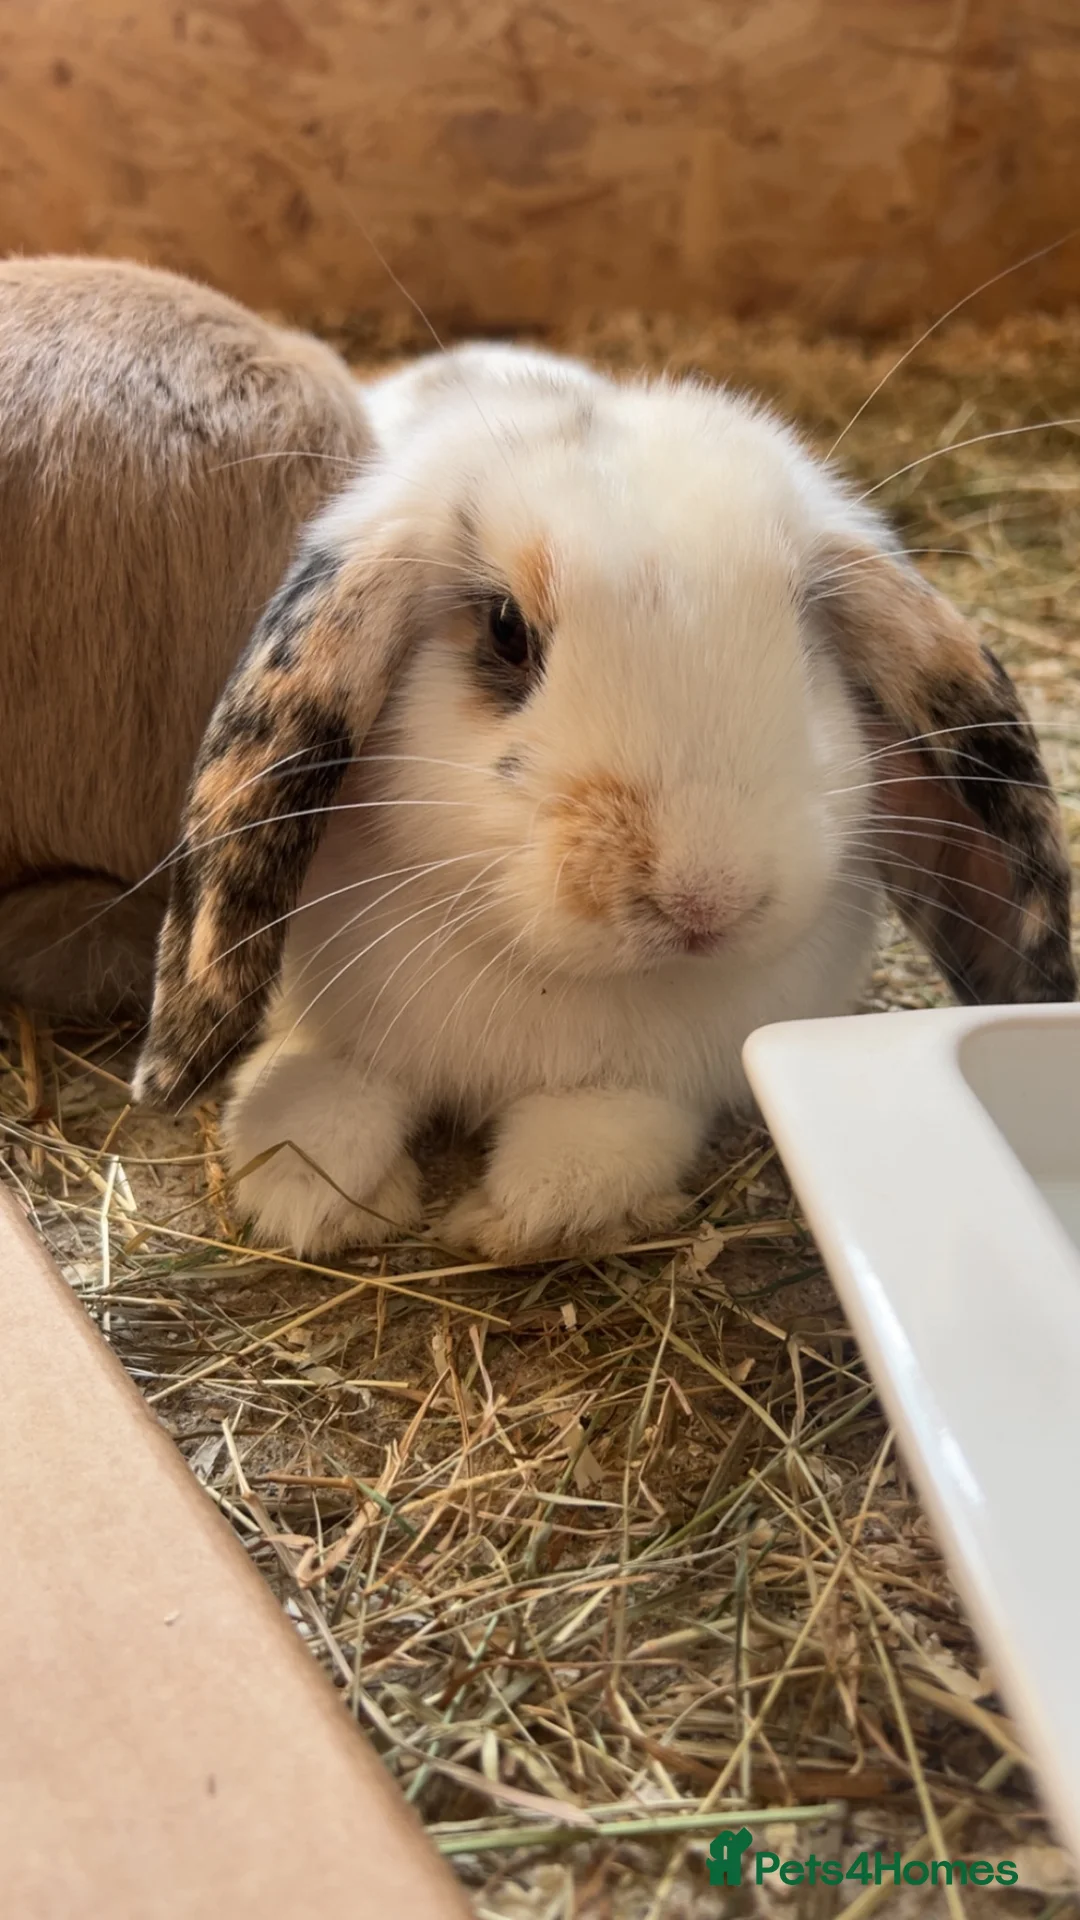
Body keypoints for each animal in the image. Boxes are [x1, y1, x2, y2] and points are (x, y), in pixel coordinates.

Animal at [132, 343, 1076, 1262]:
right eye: (506, 631)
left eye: (807, 635)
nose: (705, 899)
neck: (551, 977)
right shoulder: (330, 1021)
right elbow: (322, 1087)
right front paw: (316, 1197)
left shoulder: (661, 1080)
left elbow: (602, 1139)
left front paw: (512, 1217)